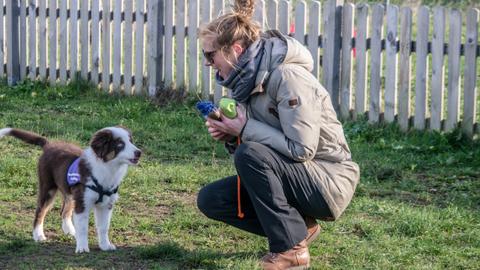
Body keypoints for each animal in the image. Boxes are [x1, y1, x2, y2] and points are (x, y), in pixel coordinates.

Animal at [0, 126, 142, 253]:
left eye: (131, 141)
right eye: (120, 144)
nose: (139, 152)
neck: (107, 168)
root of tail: (49, 144)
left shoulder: (105, 205)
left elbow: (103, 227)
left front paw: (105, 245)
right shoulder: (83, 202)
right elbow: (83, 228)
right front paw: (82, 248)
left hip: (70, 194)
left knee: (64, 211)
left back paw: (71, 231)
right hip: (48, 188)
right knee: (40, 212)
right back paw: (38, 235)